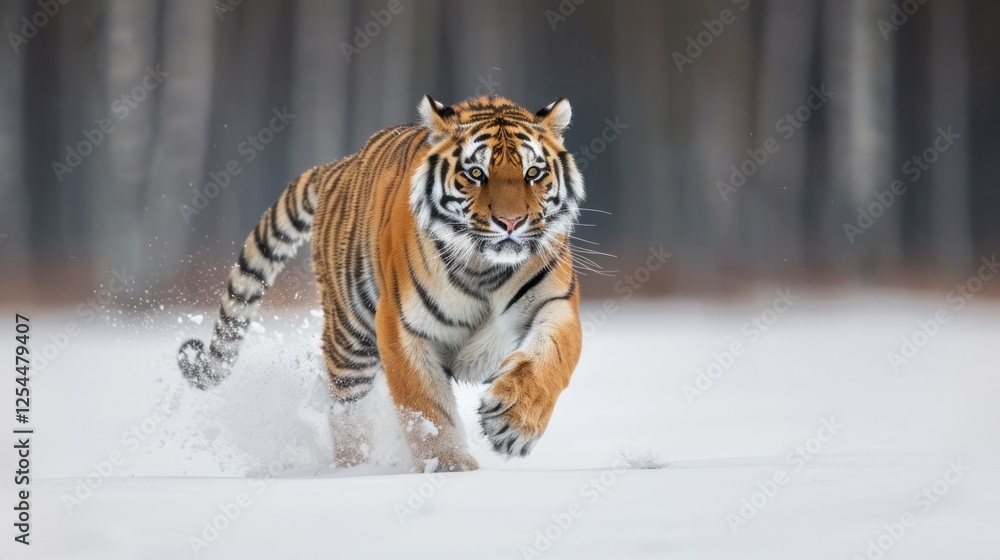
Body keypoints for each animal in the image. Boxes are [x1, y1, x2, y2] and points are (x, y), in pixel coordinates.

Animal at [178, 95, 585, 472]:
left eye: (533, 173)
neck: (485, 269)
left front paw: (514, 425)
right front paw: (449, 467)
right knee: (347, 415)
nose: (511, 222)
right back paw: (353, 471)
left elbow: (548, 360)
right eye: (475, 173)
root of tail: (340, 165)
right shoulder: (402, 328)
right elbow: (428, 410)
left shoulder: (556, 304)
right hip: (350, 339)